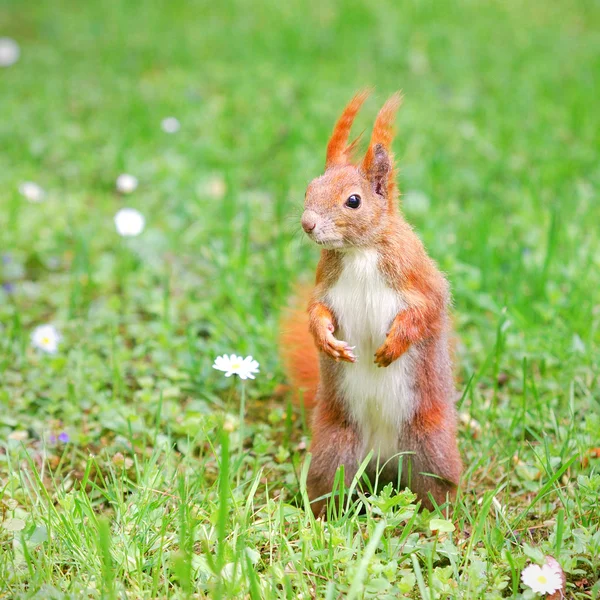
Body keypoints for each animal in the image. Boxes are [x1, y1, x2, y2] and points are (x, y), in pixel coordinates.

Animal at [280, 90, 460, 516]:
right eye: (310, 188)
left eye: (353, 201)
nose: (308, 223)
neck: (359, 251)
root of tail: (383, 461)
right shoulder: (326, 285)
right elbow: (317, 311)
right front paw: (326, 340)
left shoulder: (417, 276)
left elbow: (426, 311)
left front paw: (394, 345)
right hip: (336, 449)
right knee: (329, 486)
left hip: (430, 447)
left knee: (438, 490)